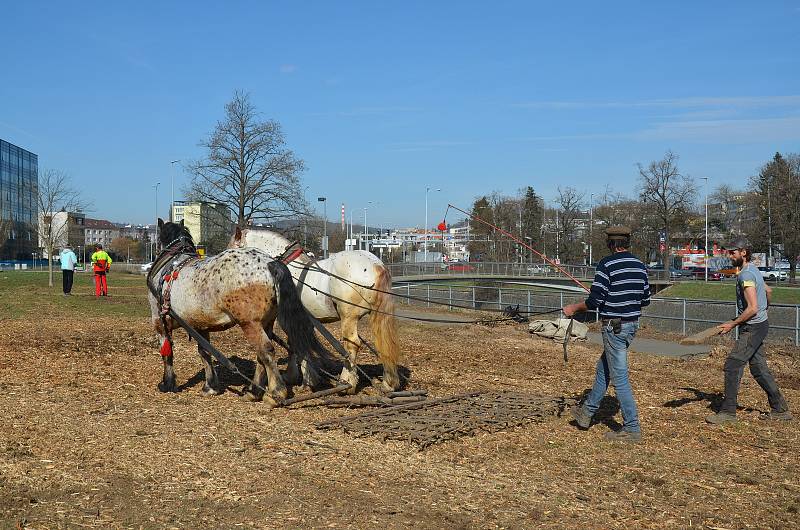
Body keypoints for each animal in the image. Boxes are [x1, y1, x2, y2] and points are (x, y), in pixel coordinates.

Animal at [231, 225, 400, 390]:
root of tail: (377, 265)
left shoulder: (289, 319)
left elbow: (296, 343)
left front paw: (300, 378)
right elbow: (299, 343)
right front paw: (304, 377)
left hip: (349, 316)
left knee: (352, 344)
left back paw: (346, 382)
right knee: (382, 342)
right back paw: (388, 383)